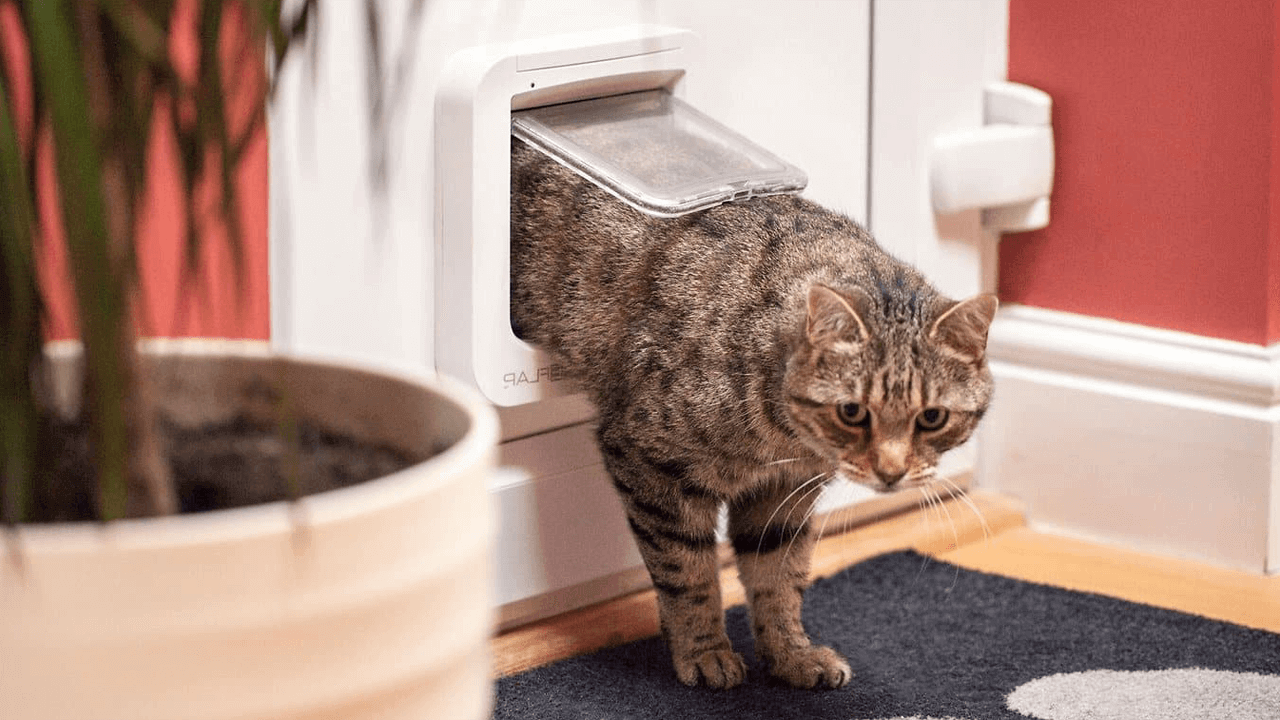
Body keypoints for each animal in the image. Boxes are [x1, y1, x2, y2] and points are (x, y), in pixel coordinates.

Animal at [509, 137, 998, 686]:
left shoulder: (784, 493)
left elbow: (779, 577)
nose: (891, 473)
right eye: (852, 412)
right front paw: (704, 651)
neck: (784, 438)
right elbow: (688, 572)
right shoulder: (649, 462)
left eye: (932, 418)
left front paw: (791, 654)